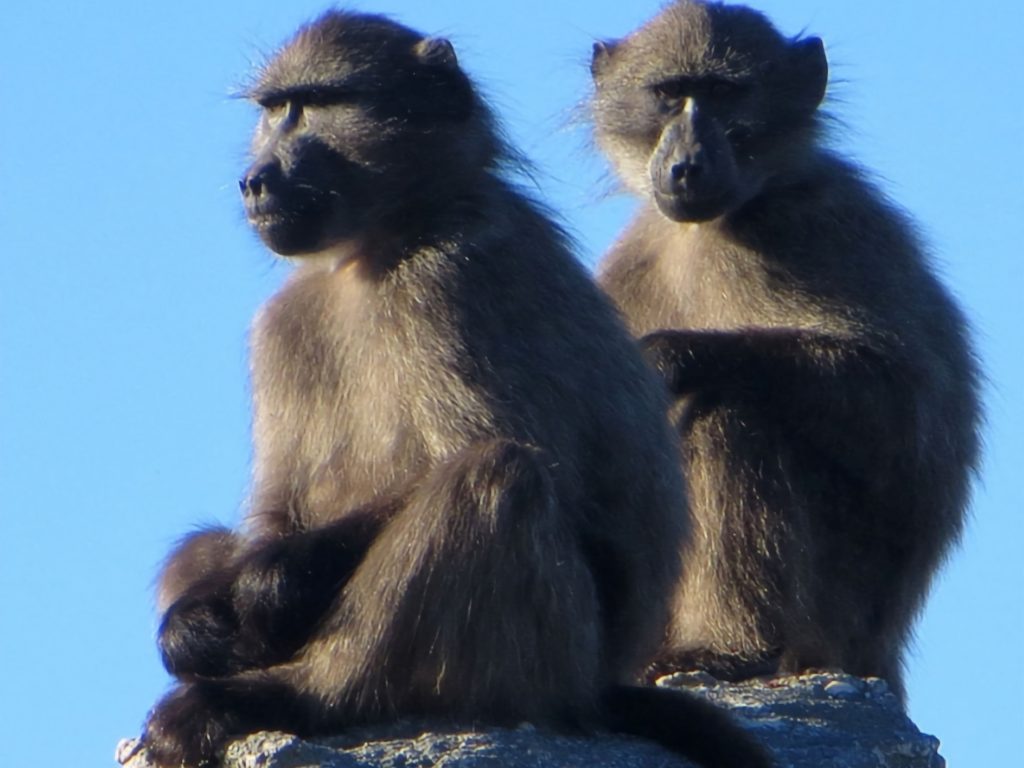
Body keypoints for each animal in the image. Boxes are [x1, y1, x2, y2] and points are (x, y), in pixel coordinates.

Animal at [136, 11, 773, 768]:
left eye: (317, 103)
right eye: (273, 109)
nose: (256, 181)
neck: (386, 241)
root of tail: (598, 691)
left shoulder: (448, 280)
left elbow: (503, 453)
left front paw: (265, 592)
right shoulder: (282, 323)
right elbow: (275, 513)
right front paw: (193, 625)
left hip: (546, 665)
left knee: (495, 477)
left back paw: (289, 698)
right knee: (205, 543)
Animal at [589, 0, 981, 704]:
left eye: (724, 95)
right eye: (669, 95)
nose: (686, 166)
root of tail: (881, 651)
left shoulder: (815, 228)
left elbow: (910, 411)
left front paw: (671, 358)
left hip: (839, 610)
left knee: (733, 414)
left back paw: (727, 651)